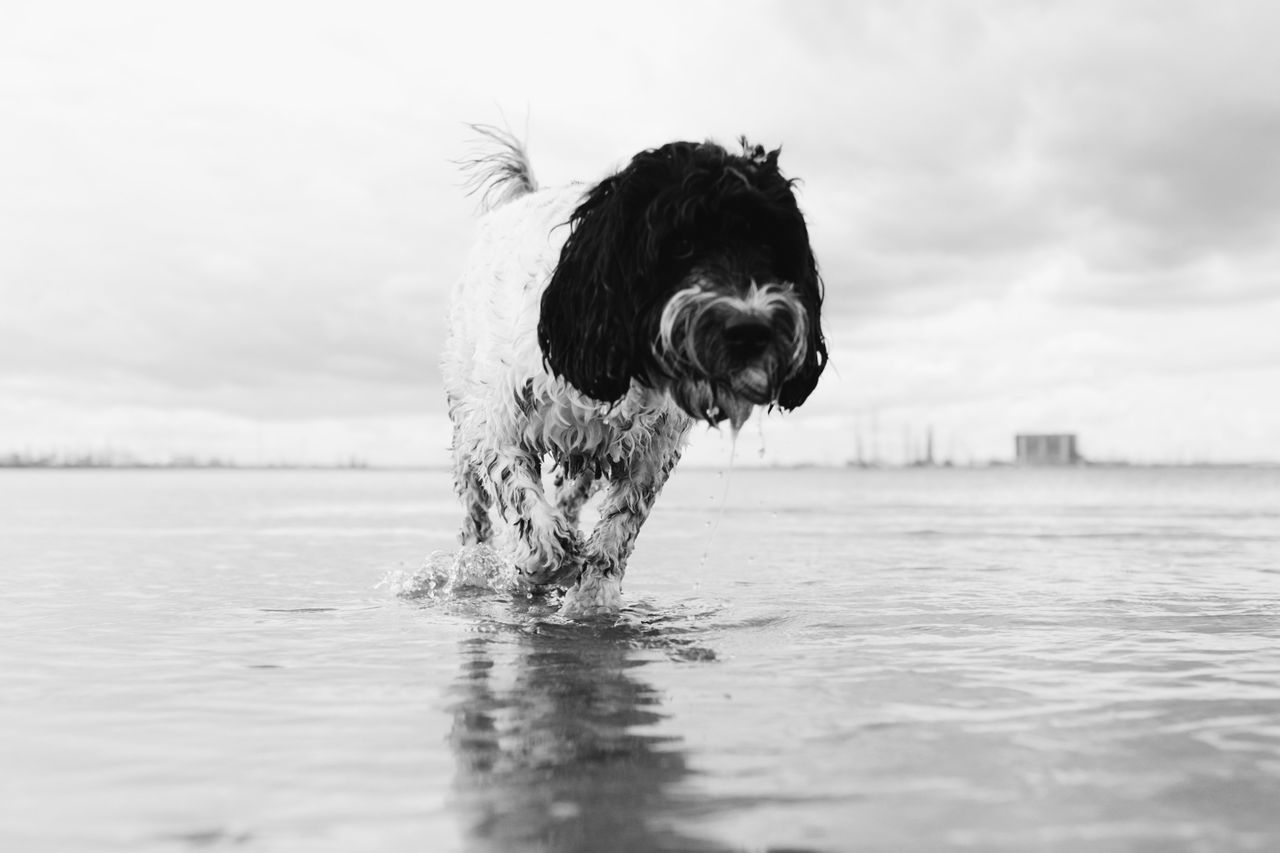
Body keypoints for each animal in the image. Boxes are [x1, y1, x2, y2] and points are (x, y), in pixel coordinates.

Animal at [442, 126, 829, 614]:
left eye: (771, 245)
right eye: (681, 244)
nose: (750, 330)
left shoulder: (652, 451)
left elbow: (619, 528)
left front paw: (591, 597)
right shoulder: (495, 425)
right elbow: (530, 510)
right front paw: (539, 564)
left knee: (569, 494)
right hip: (463, 421)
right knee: (474, 515)